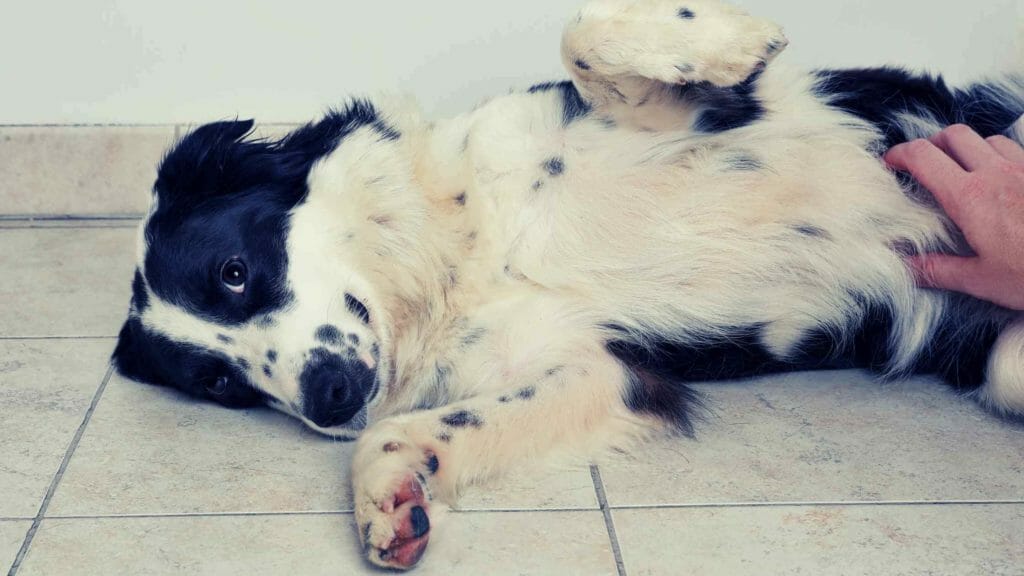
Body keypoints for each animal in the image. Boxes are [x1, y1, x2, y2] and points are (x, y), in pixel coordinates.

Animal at [112, 0, 1024, 565]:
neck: (466, 248)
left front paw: (735, 40)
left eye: (235, 272)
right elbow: (406, 434)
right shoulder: (592, 370)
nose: (327, 399)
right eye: (221, 384)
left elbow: (582, 36)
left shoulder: (660, 116)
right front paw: (388, 502)